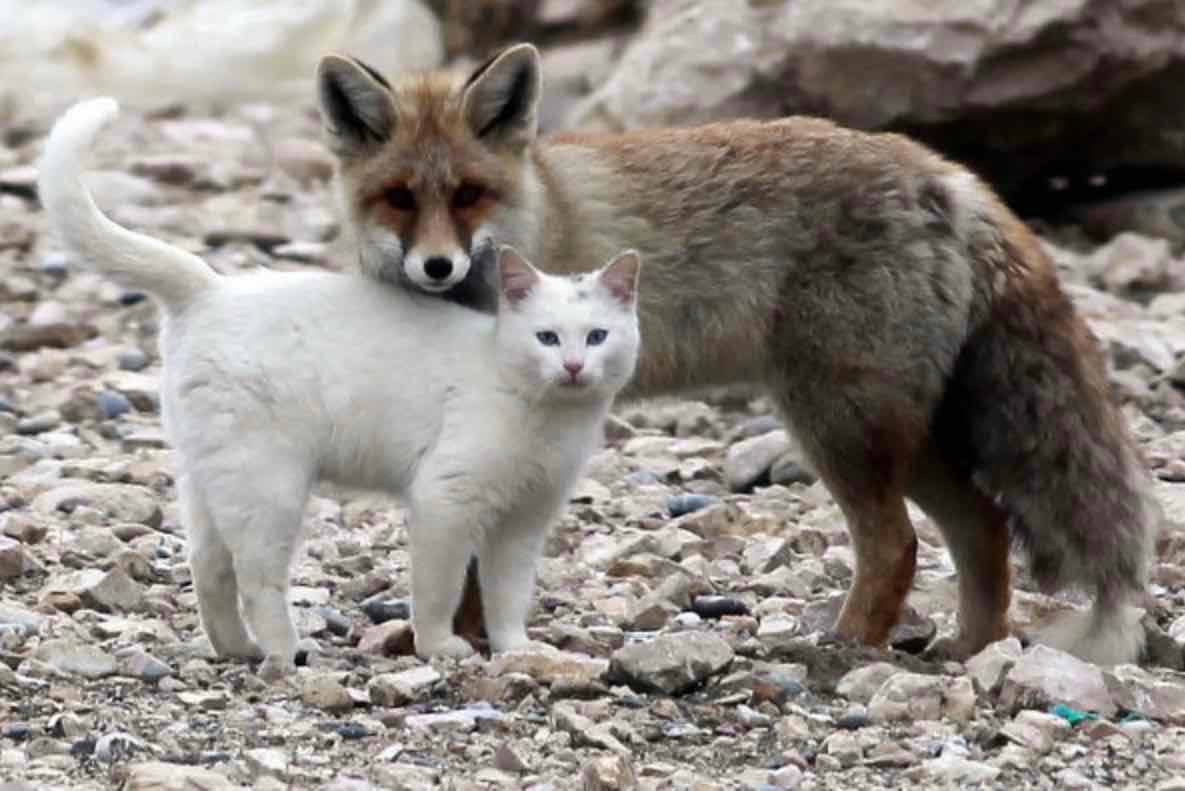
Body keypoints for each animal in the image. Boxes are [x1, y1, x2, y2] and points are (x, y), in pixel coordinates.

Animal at [313, 44, 1159, 665]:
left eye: (467, 194)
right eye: (398, 197)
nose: (436, 266)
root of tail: (948, 174)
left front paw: (462, 639)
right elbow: (467, 554)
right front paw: (463, 636)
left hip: (836, 422)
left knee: (895, 544)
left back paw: (845, 647)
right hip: (903, 434)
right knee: (980, 527)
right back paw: (969, 649)